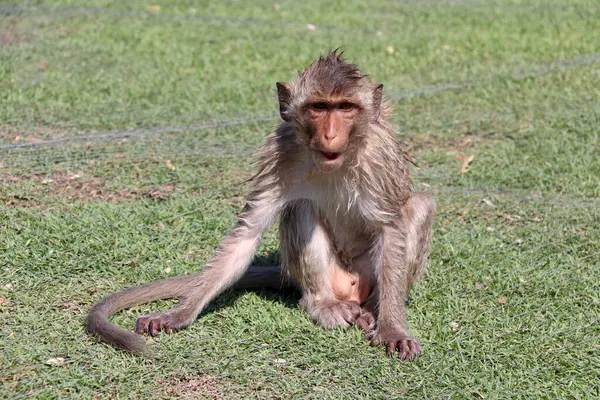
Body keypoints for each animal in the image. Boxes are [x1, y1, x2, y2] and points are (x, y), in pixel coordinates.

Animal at [86, 51, 434, 360]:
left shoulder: (379, 159)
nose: (330, 134)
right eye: (319, 107)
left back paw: (375, 307)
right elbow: (247, 233)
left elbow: (391, 227)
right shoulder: (280, 154)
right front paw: (179, 313)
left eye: (345, 107)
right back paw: (323, 304)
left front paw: (392, 329)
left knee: (418, 205)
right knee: (301, 207)